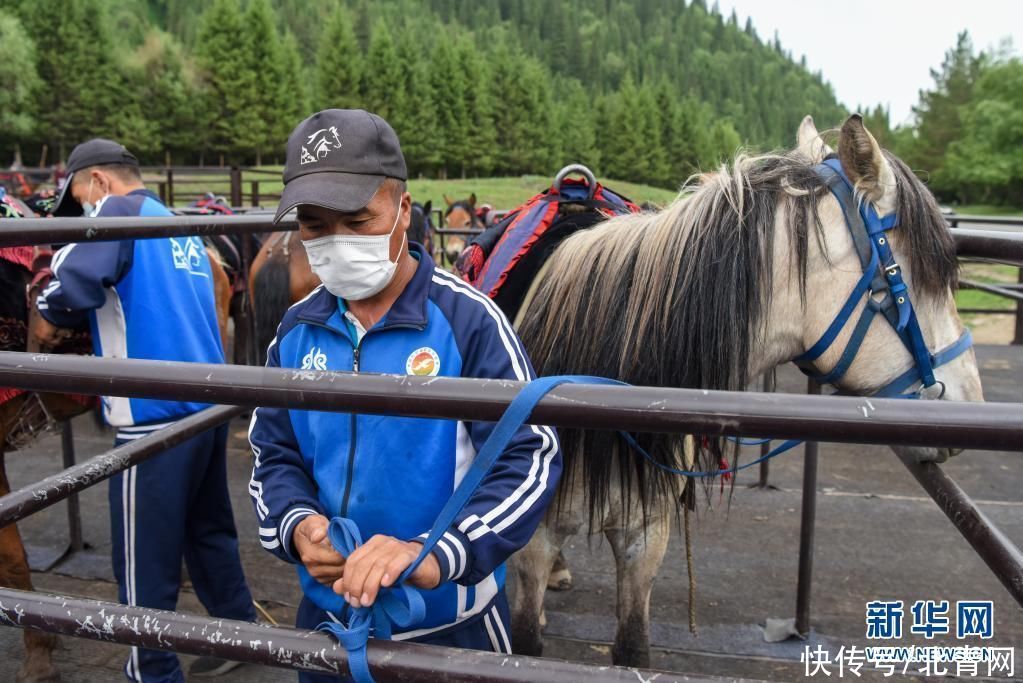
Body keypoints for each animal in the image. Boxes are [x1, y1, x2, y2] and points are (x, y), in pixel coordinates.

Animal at [507, 116, 986, 666]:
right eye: (920, 279)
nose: (972, 403)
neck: (600, 383)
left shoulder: (644, 536)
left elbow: (632, 649)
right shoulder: (535, 539)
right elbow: (523, 637)